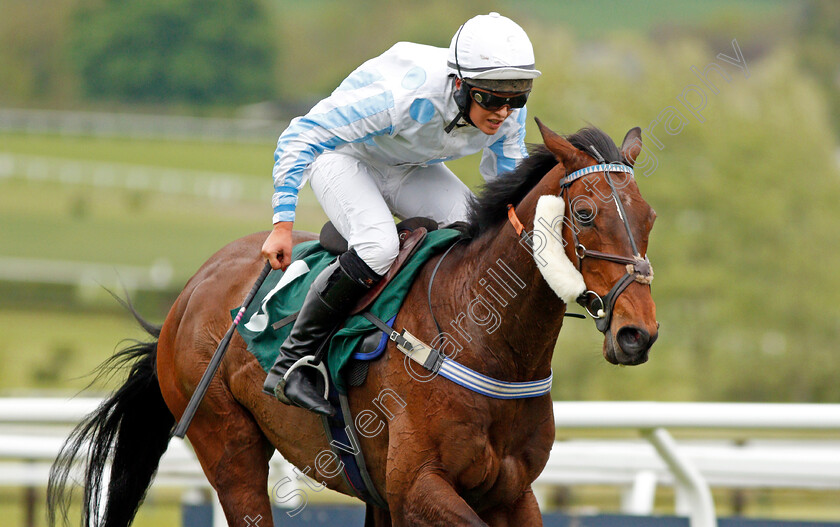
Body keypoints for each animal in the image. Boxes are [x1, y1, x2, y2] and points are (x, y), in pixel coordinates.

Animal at [49, 120, 660, 527]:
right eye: (584, 214)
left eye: (649, 217)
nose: (637, 334)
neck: (485, 343)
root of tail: (191, 291)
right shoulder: (417, 488)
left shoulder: (510, 490)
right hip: (228, 445)